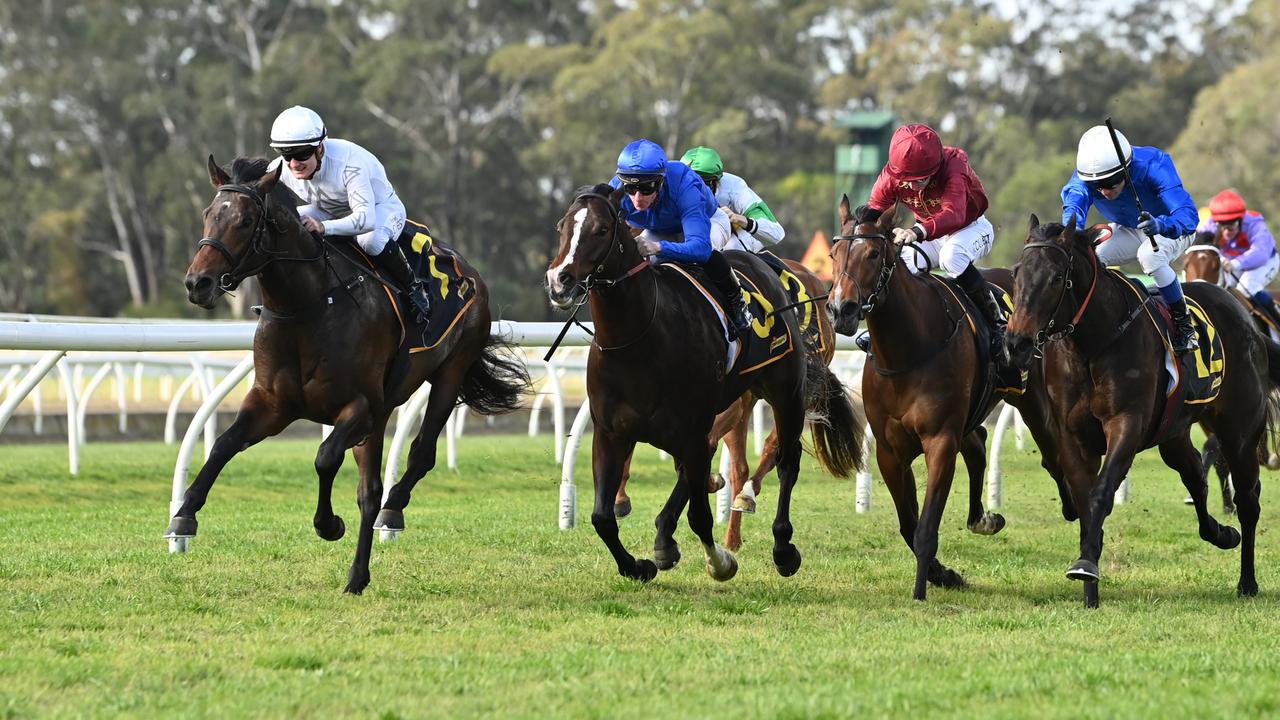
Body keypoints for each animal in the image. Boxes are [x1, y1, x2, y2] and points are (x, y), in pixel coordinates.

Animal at [171, 154, 529, 591]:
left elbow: (325, 458)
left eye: (244, 220)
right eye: (208, 215)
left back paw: (391, 513)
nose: (197, 283)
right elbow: (223, 445)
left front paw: (328, 524)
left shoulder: (358, 406)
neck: (308, 306)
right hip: (382, 413)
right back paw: (358, 575)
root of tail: (468, 270)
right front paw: (184, 515)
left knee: (418, 457)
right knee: (370, 490)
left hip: (449, 373)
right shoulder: (273, 404)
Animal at [824, 196, 1064, 599]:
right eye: (833, 253)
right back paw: (982, 518)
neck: (907, 352)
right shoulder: (890, 452)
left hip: (1032, 400)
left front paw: (922, 589)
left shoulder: (940, 441)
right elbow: (908, 524)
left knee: (1054, 452)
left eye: (873, 254)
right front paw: (942, 574)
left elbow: (925, 528)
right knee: (979, 443)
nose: (841, 309)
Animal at [1008, 213, 1280, 604]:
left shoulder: (1126, 425)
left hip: (1239, 431)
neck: (1092, 345)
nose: (1016, 343)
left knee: (1247, 500)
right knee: (1195, 477)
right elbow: (1085, 500)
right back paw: (1220, 533)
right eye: (1016, 273)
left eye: (1057, 277)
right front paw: (1089, 588)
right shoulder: (1072, 435)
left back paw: (1247, 581)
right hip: (1174, 434)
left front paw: (1086, 567)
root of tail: (1246, 320)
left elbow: (1101, 493)